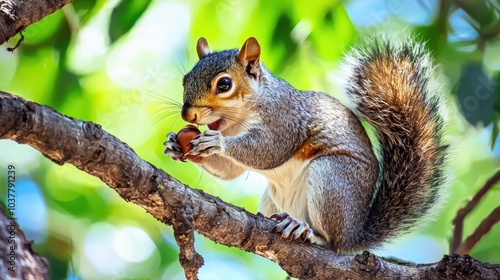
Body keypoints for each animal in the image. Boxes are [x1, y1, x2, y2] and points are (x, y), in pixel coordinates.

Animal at [163, 35, 450, 252]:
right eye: (185, 79)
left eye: (224, 84)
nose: (188, 115)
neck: (240, 119)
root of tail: (354, 234)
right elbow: (230, 170)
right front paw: (175, 145)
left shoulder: (285, 121)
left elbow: (268, 151)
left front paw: (218, 142)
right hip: (274, 200)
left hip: (332, 179)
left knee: (332, 242)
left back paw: (307, 231)